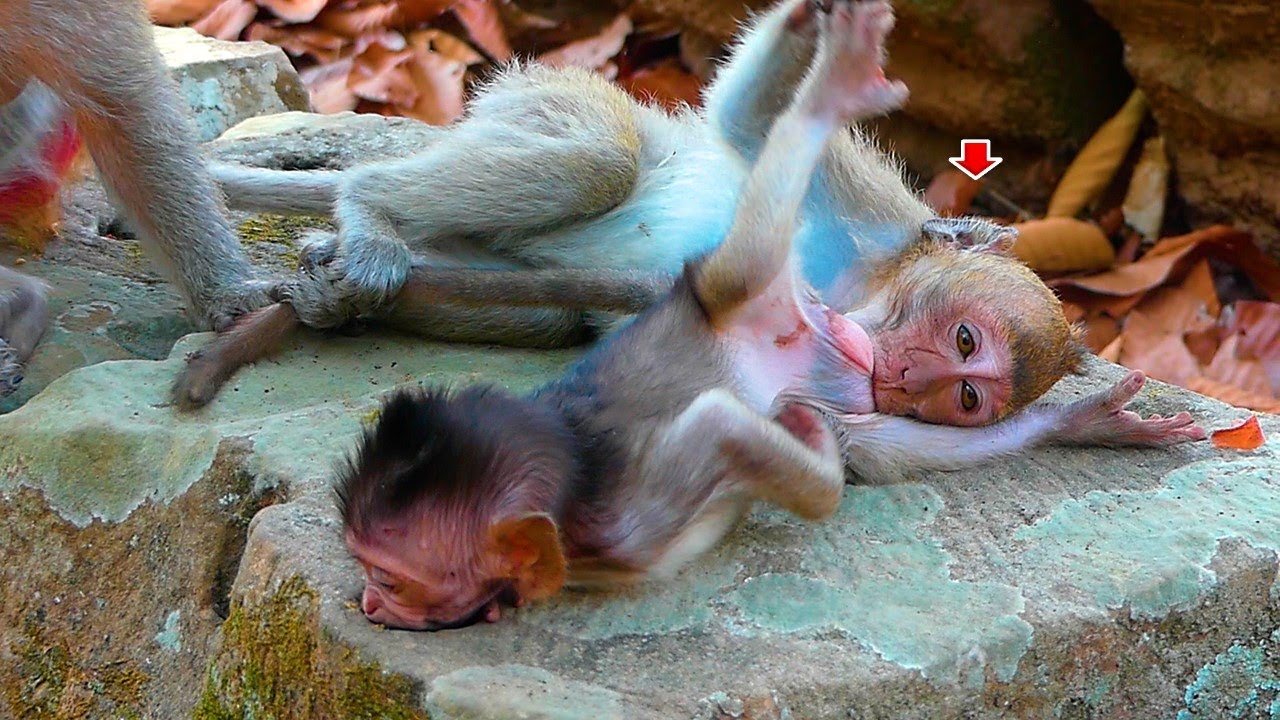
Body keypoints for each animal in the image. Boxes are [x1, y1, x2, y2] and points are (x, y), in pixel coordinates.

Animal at [333, 2, 1204, 631]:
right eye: (962, 339)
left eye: (966, 395)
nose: (908, 375)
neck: (864, 297)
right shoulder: (879, 223)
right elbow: (744, 122)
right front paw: (813, 30)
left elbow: (868, 448)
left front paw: (1087, 424)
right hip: (555, 103)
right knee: (601, 162)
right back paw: (362, 215)